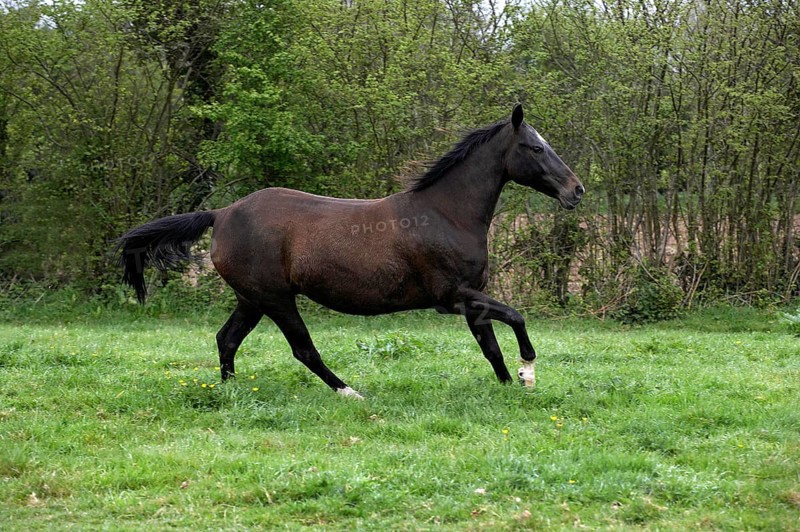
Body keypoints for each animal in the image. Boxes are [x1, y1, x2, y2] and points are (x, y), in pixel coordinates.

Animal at [116, 104, 584, 398]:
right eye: (536, 147)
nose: (576, 191)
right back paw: (350, 392)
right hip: (276, 299)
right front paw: (528, 373)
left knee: (226, 339)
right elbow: (516, 318)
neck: (445, 214)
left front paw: (510, 385)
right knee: (303, 349)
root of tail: (221, 212)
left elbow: (491, 346)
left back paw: (231, 392)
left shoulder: (471, 298)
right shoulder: (452, 297)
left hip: (251, 299)